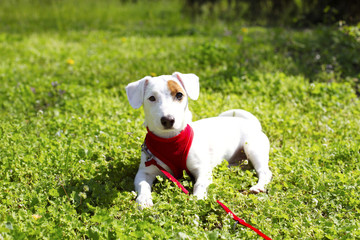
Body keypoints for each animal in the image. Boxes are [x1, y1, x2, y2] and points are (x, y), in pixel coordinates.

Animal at [126, 71, 272, 208]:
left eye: (179, 95)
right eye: (152, 98)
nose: (168, 120)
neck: (171, 140)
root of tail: (251, 123)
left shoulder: (202, 169)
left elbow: (200, 183)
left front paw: (198, 198)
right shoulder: (145, 171)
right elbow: (143, 184)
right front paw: (144, 199)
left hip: (253, 148)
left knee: (265, 171)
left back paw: (258, 186)